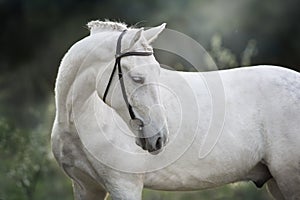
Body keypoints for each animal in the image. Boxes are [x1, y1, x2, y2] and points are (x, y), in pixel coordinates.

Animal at [51, 20, 300, 200]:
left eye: (158, 72)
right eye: (137, 78)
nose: (159, 138)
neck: (79, 119)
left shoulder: (124, 186)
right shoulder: (86, 187)